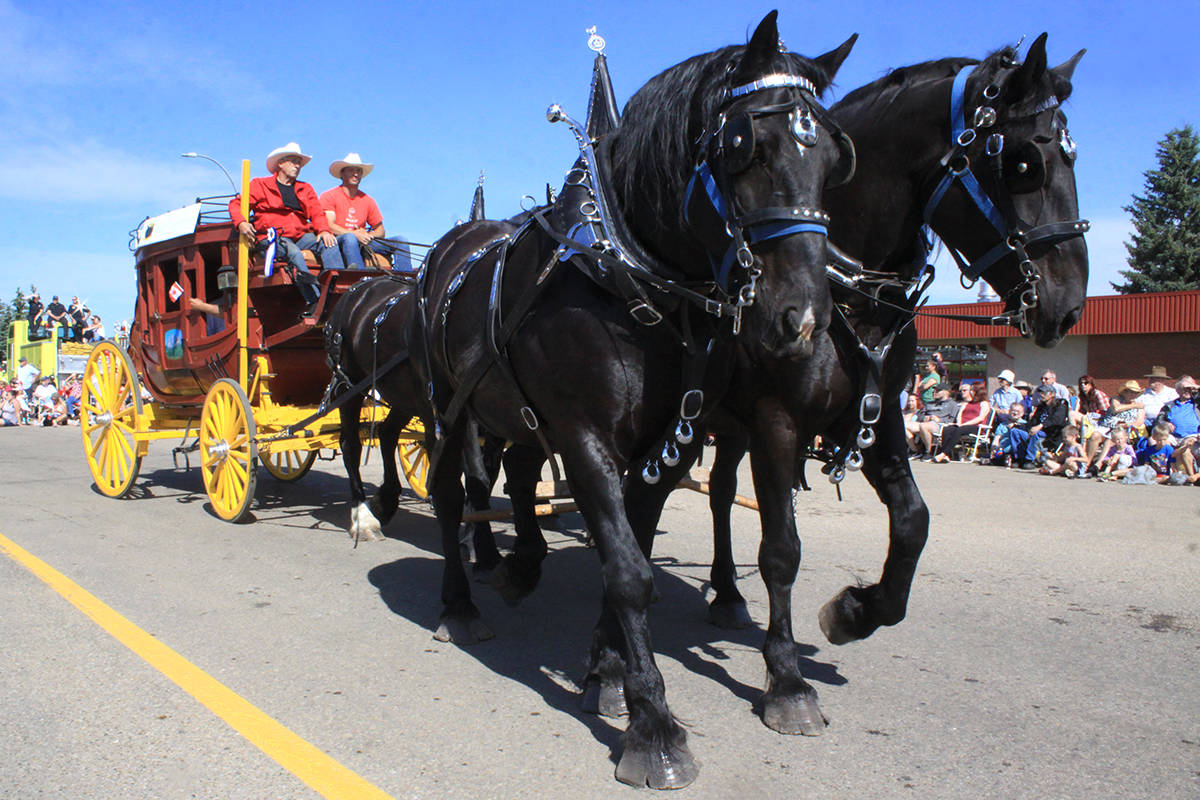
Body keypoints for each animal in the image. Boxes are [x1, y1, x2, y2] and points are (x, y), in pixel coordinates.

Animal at [410, 10, 854, 786]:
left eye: (832, 157)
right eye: (745, 145)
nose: (802, 320)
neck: (626, 277)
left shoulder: (667, 443)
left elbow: (640, 550)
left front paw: (611, 674)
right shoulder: (585, 437)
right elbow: (628, 574)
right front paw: (654, 725)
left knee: (516, 475)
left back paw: (519, 564)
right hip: (449, 405)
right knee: (449, 492)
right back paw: (460, 603)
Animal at [619, 35, 1089, 738]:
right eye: (1025, 163)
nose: (1067, 305)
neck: (848, 295)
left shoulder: (879, 413)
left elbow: (914, 522)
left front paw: (856, 612)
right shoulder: (778, 420)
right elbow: (782, 549)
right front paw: (787, 680)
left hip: (727, 426)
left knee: (720, 492)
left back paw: (726, 592)